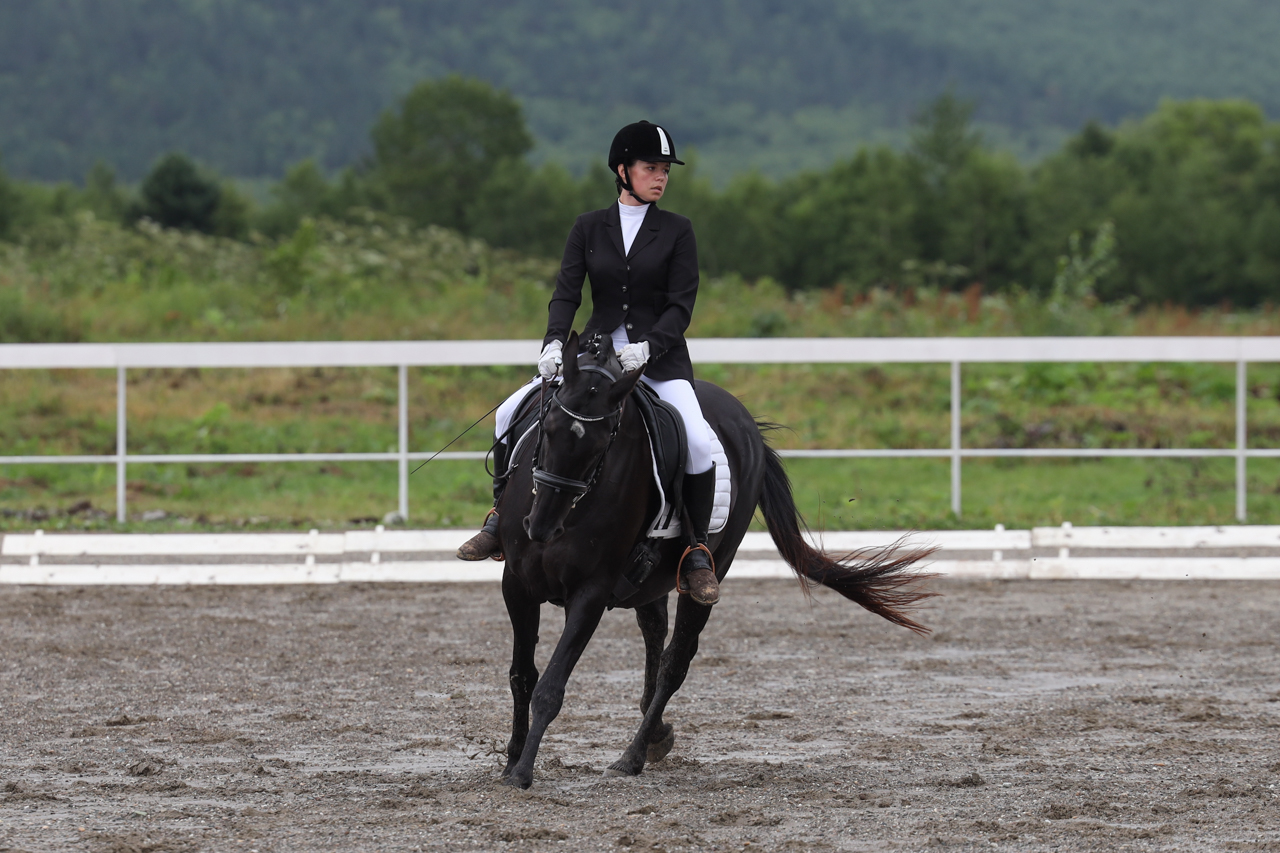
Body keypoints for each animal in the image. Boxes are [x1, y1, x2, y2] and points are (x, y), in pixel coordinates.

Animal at [491, 327, 931, 788]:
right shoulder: (517, 585)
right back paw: (655, 734)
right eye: (547, 427)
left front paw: (522, 772)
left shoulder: (590, 594)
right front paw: (511, 759)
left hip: (711, 566)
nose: (541, 527)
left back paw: (633, 756)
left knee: (675, 660)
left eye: (602, 444)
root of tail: (746, 423)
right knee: (654, 631)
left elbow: (551, 686)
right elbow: (522, 675)